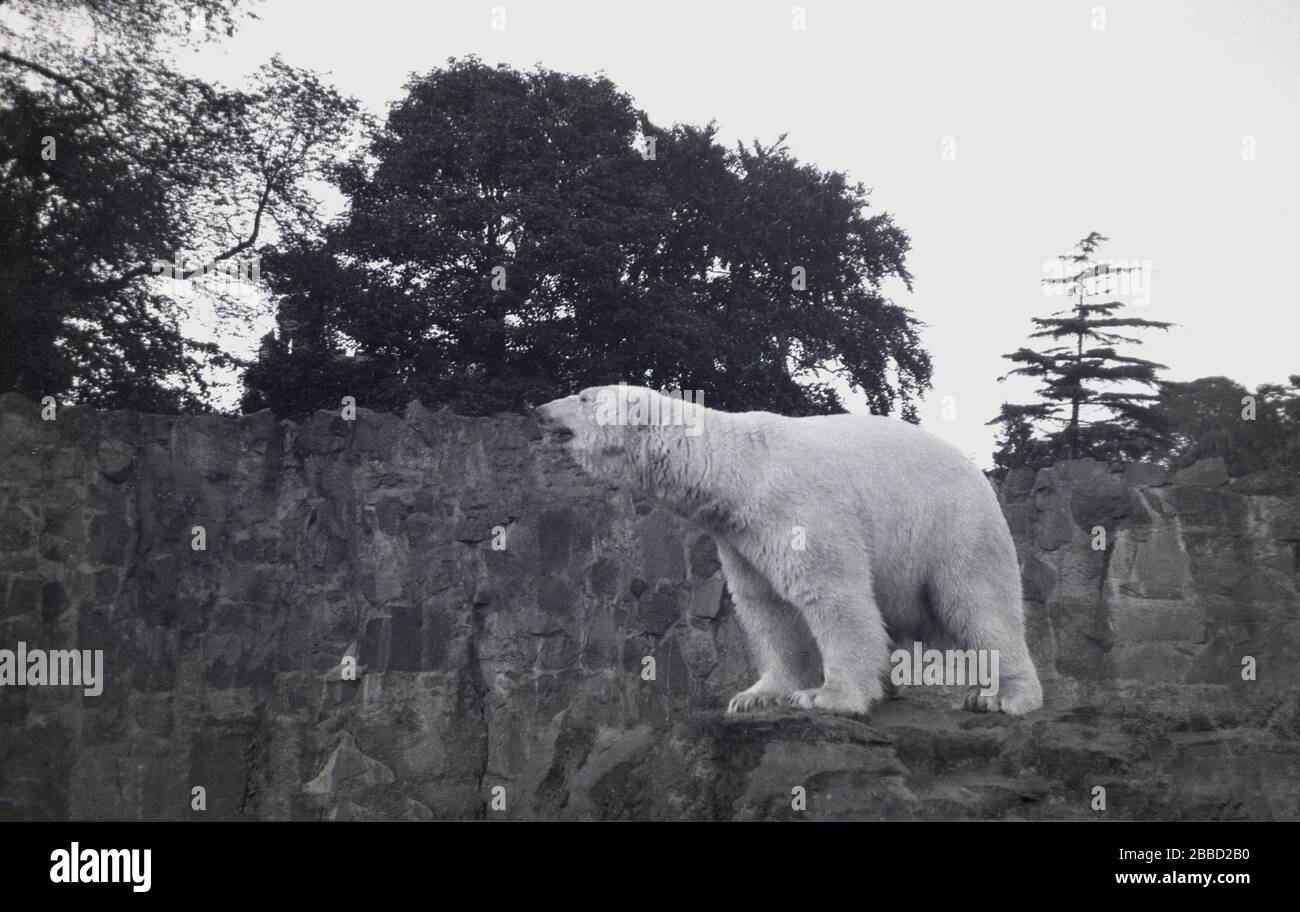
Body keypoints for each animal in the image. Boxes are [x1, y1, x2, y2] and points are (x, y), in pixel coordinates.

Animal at [533, 381, 1040, 717]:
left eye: (582, 397)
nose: (539, 409)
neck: (739, 469)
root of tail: (978, 472)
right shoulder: (739, 535)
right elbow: (767, 608)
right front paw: (755, 695)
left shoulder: (798, 507)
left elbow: (832, 595)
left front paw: (828, 696)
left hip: (954, 526)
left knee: (978, 602)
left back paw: (1002, 696)